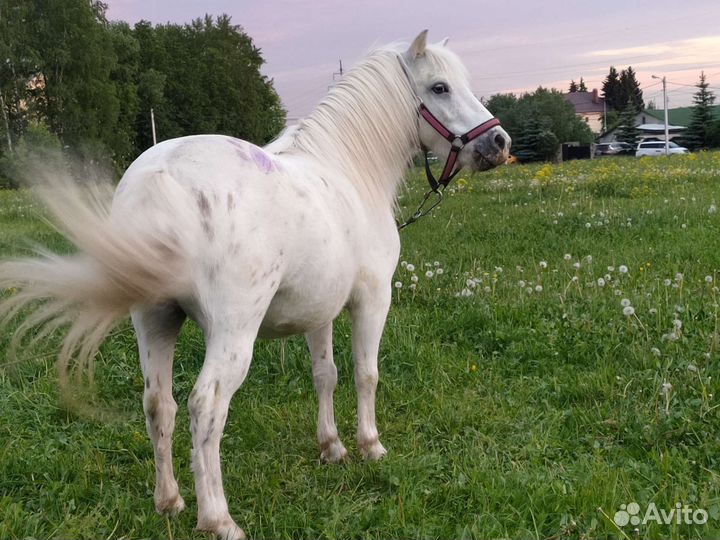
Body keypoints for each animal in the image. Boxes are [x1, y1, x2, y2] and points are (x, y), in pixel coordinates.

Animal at [0, 30, 510, 539]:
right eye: (439, 87)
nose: (499, 142)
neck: (348, 173)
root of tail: (160, 176)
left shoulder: (319, 311)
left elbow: (325, 375)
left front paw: (332, 447)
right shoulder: (372, 301)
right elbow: (366, 374)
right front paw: (370, 446)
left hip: (154, 321)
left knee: (158, 404)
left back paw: (169, 502)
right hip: (232, 333)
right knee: (205, 406)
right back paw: (218, 519)